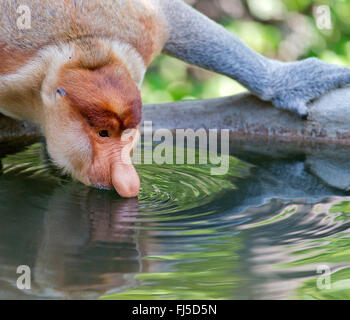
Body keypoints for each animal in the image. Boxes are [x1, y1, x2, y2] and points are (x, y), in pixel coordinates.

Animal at [0, 0, 350, 198]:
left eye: (127, 134)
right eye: (103, 133)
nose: (128, 182)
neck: (81, 50)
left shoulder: (145, 28)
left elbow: (177, 19)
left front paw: (289, 83)